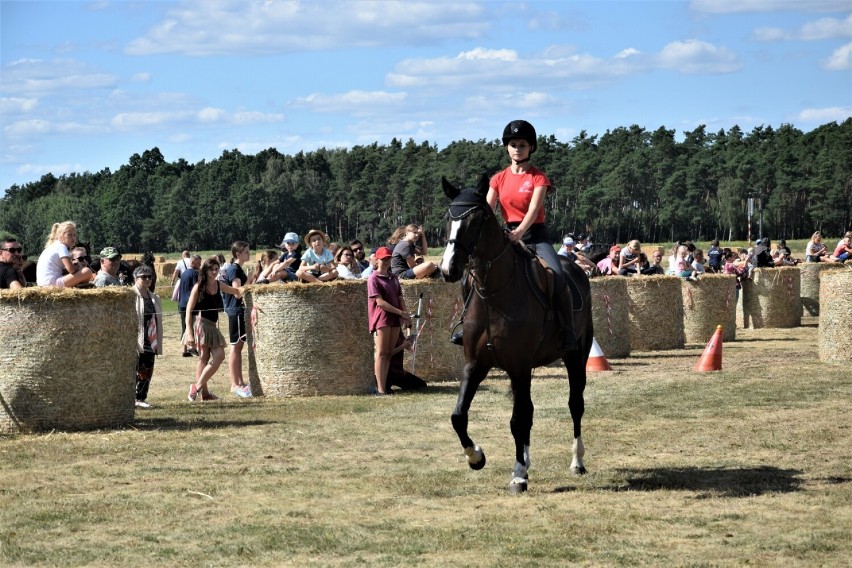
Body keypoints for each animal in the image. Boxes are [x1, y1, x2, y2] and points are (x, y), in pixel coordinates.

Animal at [440, 174, 592, 492]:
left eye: (477, 219)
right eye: (449, 217)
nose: (448, 269)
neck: (493, 294)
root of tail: (576, 267)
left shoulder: (519, 366)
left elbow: (517, 420)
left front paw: (519, 474)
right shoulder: (475, 364)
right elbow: (458, 416)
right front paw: (476, 457)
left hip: (576, 357)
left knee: (575, 405)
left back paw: (577, 462)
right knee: (530, 410)